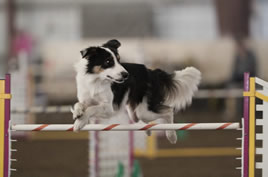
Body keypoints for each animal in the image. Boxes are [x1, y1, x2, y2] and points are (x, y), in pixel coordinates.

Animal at [71, 39, 201, 144]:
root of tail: (151, 72)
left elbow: (92, 109)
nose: (126, 75)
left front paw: (80, 123)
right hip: (134, 111)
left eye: (119, 60)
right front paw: (77, 113)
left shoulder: (108, 108)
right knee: (138, 119)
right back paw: (147, 130)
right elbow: (79, 104)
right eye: (108, 61)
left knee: (168, 111)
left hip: (144, 111)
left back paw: (171, 136)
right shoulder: (86, 99)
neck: (96, 80)